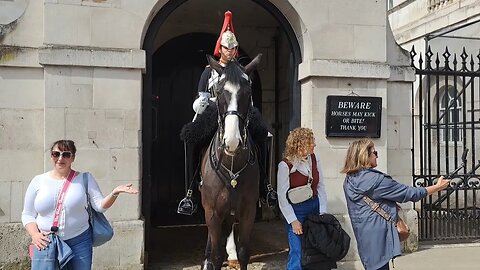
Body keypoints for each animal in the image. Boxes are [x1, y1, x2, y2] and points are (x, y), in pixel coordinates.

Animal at [201, 53, 264, 268]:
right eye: (220, 92)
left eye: (248, 92)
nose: (232, 141)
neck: (232, 167)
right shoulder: (212, 212)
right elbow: (216, 255)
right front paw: (211, 259)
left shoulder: (247, 213)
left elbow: (244, 252)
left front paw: (236, 255)